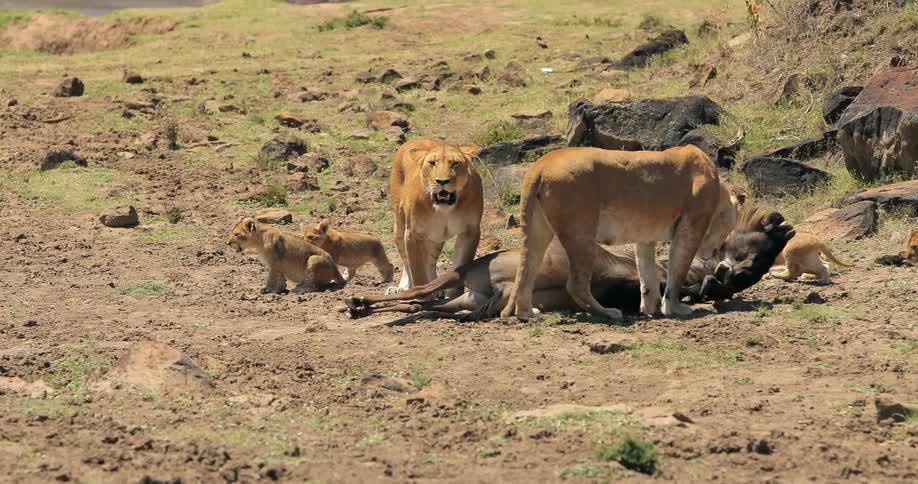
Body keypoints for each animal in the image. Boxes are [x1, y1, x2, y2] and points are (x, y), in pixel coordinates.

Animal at [389, 139, 483, 297]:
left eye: (455, 163)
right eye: (432, 163)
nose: (442, 181)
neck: (444, 210)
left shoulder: (470, 231)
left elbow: (460, 265)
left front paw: (453, 296)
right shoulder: (413, 234)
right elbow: (417, 270)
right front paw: (420, 294)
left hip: (436, 237)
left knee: (430, 262)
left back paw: (436, 288)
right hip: (399, 228)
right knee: (407, 262)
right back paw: (402, 287)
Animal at [501, 145, 723, 322]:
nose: (712, 255)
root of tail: (540, 165)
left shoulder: (645, 235)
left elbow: (647, 274)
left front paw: (650, 308)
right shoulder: (691, 225)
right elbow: (677, 272)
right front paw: (675, 308)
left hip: (537, 229)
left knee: (526, 271)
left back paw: (528, 313)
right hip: (581, 232)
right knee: (576, 285)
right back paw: (608, 313)